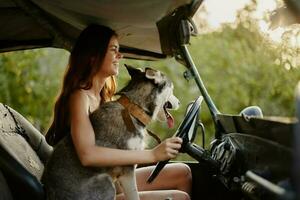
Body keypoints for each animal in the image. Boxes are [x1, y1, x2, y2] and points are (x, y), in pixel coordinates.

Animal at [42, 65, 178, 199]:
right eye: (172, 88)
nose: (179, 102)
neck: (133, 110)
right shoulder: (127, 171)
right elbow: (135, 195)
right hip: (106, 182)